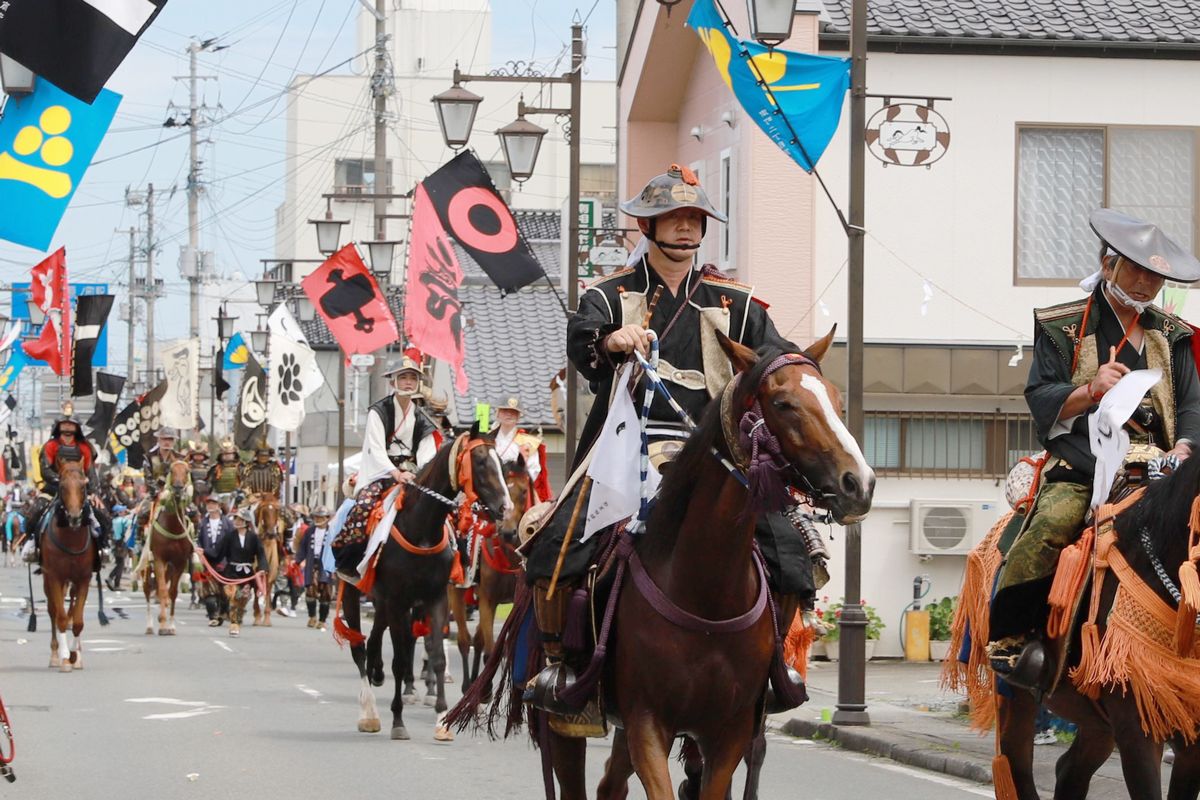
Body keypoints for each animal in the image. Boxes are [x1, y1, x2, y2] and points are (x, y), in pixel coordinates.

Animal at [40, 460, 94, 671]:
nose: (74, 517)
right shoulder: (55, 576)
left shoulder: (84, 579)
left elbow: (78, 620)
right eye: (62, 487)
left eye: (83, 486)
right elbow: (61, 618)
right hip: (48, 579)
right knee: (53, 611)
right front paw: (64, 657)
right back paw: (55, 654)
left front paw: (75, 656)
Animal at [138, 455, 194, 638]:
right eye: (171, 470)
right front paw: (162, 624)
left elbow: (173, 592)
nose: (177, 489)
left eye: (187, 471)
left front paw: (171, 626)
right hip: (147, 564)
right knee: (148, 589)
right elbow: (162, 590)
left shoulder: (180, 562)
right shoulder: (159, 559)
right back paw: (149, 626)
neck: (173, 526)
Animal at [250, 494, 283, 623]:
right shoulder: (255, 570)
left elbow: (268, 588)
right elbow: (256, 587)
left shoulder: (272, 570)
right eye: (263, 510)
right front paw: (257, 615)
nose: (270, 534)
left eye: (276, 510)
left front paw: (267, 618)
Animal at [343, 429, 516, 743]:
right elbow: (400, 659)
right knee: (359, 648)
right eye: (480, 462)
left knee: (374, 641)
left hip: (383, 601)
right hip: (353, 591)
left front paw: (442, 720)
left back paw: (377, 676)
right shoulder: (399, 600)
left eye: (502, 464)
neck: (421, 529)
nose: (505, 508)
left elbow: (437, 657)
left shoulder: (436, 597)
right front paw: (398, 721)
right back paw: (369, 713)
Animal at [448, 460, 528, 690]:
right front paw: (484, 689)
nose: (508, 532)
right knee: (464, 640)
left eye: (524, 492)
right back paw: (467, 683)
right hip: (456, 591)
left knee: (477, 640)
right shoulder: (488, 599)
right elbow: (490, 651)